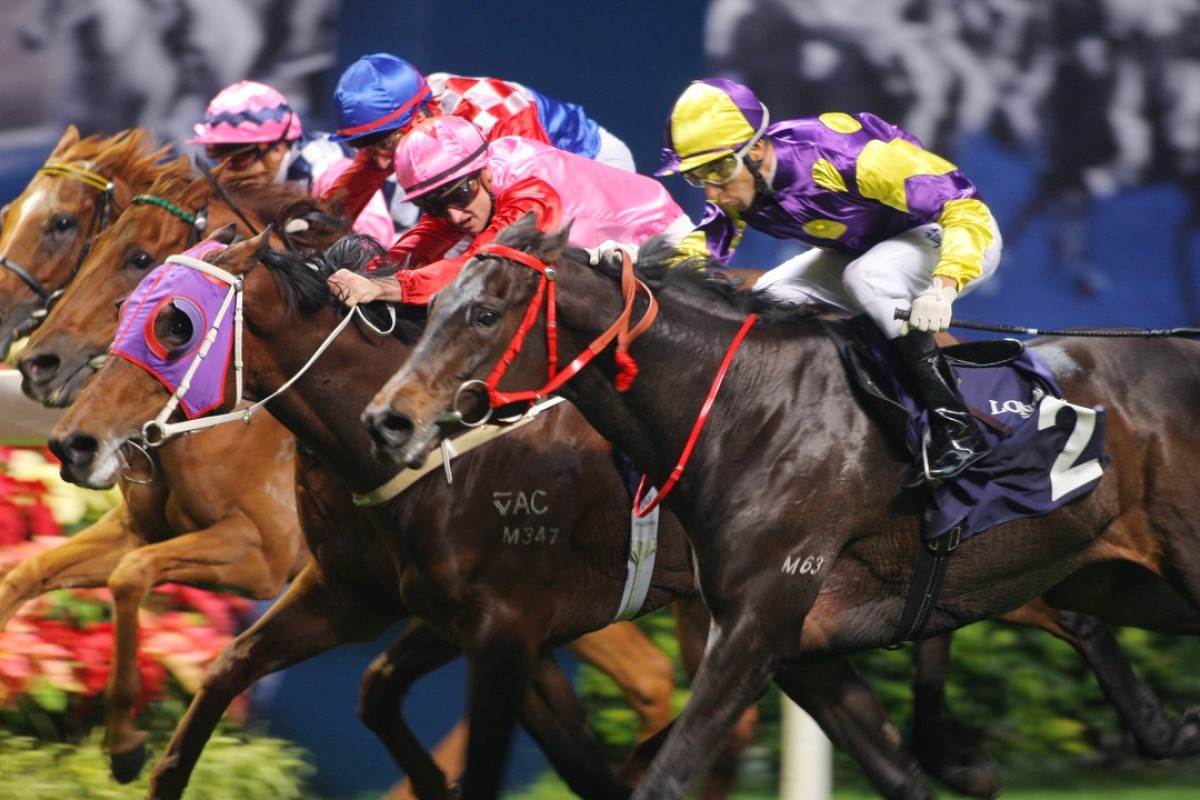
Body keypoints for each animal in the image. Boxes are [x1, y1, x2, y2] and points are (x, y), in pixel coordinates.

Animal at [14, 159, 748, 796]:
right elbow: (221, 671)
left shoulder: (269, 555)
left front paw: (122, 740)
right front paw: (128, 749)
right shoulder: (356, 594)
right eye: (131, 297)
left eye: (175, 323)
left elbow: (134, 578)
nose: (72, 439)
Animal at [360, 217, 1200, 800]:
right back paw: (1163, 726)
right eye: (438, 303)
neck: (743, 412)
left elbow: (669, 774)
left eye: (485, 315)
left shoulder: (757, 626)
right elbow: (899, 776)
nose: (388, 420)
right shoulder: (806, 654)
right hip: (1113, 578)